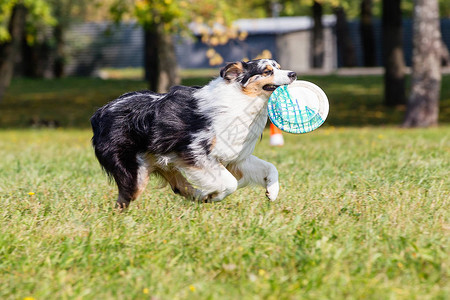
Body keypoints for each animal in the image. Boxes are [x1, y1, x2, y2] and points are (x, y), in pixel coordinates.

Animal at [90, 59, 296, 207]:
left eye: (279, 67)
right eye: (267, 71)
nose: (293, 73)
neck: (241, 100)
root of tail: (99, 114)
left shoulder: (234, 156)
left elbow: (270, 167)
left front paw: (272, 191)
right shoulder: (196, 151)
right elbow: (230, 183)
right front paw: (214, 196)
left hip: (165, 163)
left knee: (179, 187)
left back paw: (200, 195)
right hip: (135, 174)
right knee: (123, 201)